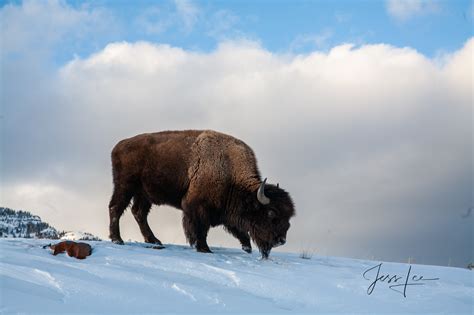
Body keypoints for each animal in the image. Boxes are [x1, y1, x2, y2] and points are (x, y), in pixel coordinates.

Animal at [109, 131, 294, 260]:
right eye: (271, 213)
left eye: (288, 216)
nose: (281, 240)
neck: (229, 170)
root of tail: (119, 145)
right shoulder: (197, 207)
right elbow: (201, 229)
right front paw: (204, 249)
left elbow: (238, 229)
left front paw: (247, 247)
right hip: (125, 187)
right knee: (116, 208)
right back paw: (117, 239)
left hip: (144, 194)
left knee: (139, 213)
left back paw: (153, 240)